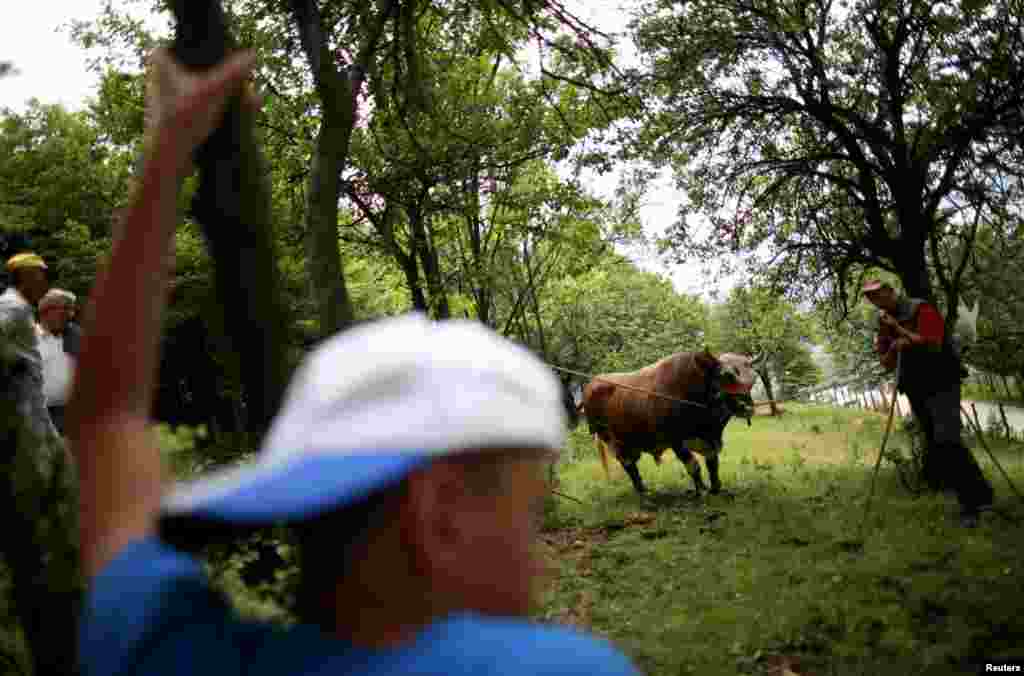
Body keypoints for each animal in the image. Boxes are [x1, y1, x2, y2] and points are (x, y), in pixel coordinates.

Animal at [581, 350, 757, 493]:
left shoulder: (710, 440)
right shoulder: (676, 441)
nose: (748, 406)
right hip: (609, 438)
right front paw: (701, 490)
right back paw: (642, 490)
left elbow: (712, 464)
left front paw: (715, 487)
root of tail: (592, 384)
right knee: (628, 464)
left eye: (752, 378)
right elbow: (693, 466)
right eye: (726, 376)